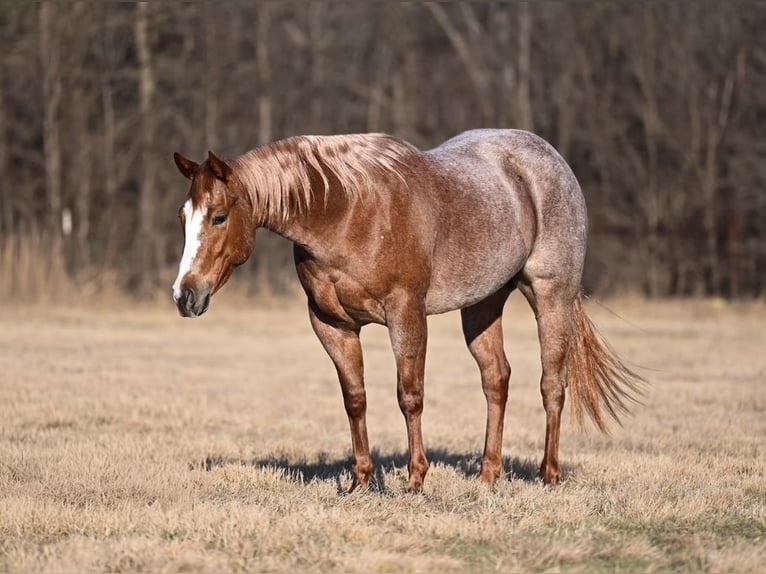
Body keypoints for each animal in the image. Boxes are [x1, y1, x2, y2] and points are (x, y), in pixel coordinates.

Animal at [171, 129, 644, 493]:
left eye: (218, 216)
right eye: (183, 217)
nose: (184, 295)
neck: (345, 212)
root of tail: (551, 160)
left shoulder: (406, 313)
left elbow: (409, 396)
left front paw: (416, 480)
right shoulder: (332, 324)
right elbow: (355, 399)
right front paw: (361, 481)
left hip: (551, 295)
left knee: (552, 385)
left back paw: (549, 475)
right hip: (483, 303)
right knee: (496, 380)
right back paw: (488, 476)